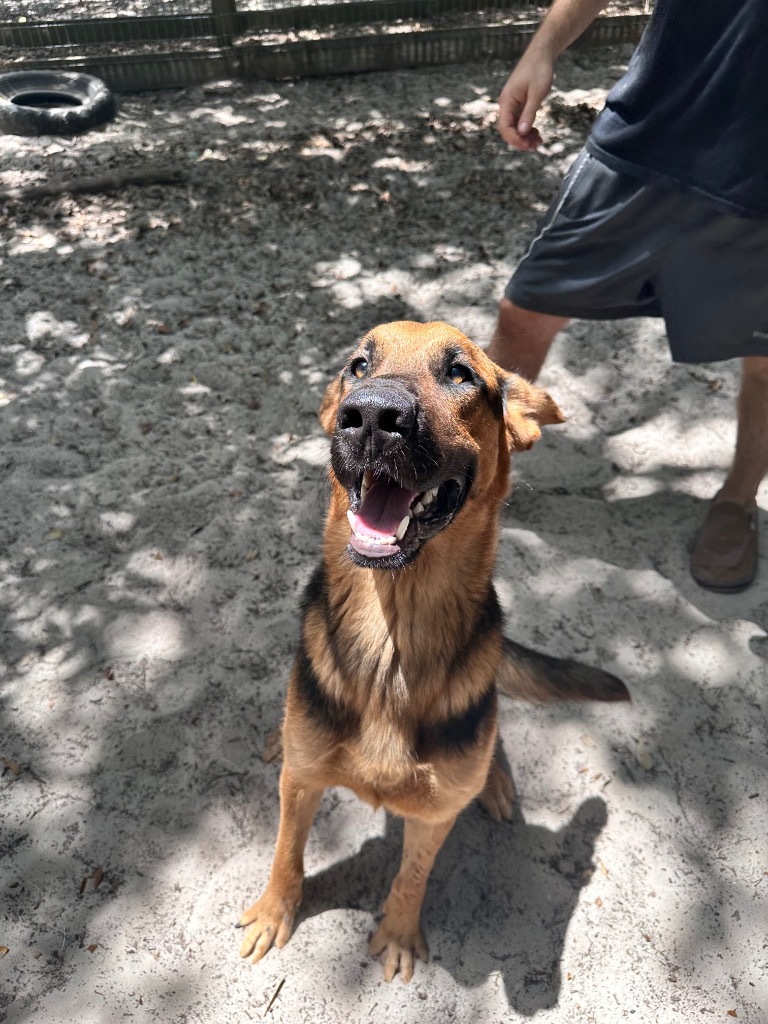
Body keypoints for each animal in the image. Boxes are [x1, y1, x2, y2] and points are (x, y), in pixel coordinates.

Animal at [240, 319, 630, 983]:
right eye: (358, 366)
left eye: (460, 374)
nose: (371, 416)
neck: (392, 639)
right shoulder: (302, 782)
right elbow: (287, 852)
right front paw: (274, 912)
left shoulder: (432, 816)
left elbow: (412, 877)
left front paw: (398, 935)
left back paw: (496, 784)